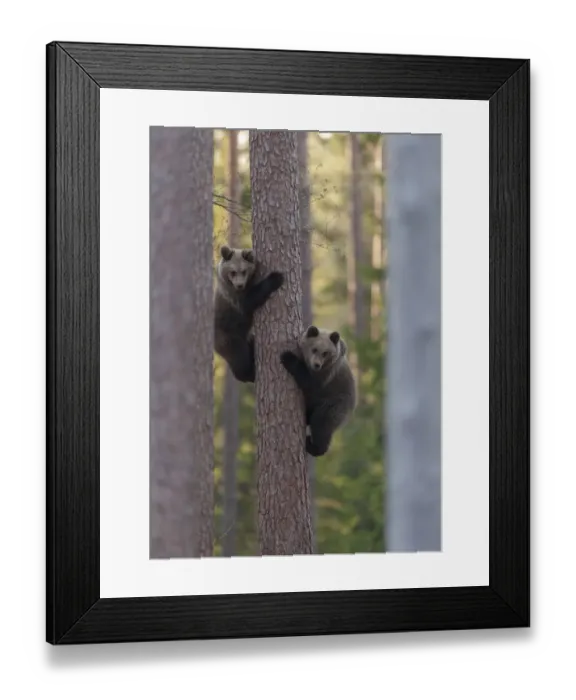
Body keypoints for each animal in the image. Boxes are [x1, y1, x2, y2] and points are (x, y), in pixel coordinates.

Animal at [214, 245, 284, 383]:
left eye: (244, 271)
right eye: (233, 272)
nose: (239, 285)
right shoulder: (232, 295)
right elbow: (248, 301)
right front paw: (276, 277)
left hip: (247, 335)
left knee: (251, 344)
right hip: (226, 336)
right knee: (240, 358)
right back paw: (250, 374)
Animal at [280, 325, 356, 457]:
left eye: (325, 353)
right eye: (314, 349)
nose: (317, 365)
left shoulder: (327, 373)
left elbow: (310, 382)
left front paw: (287, 357)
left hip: (335, 403)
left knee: (321, 422)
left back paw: (313, 446)